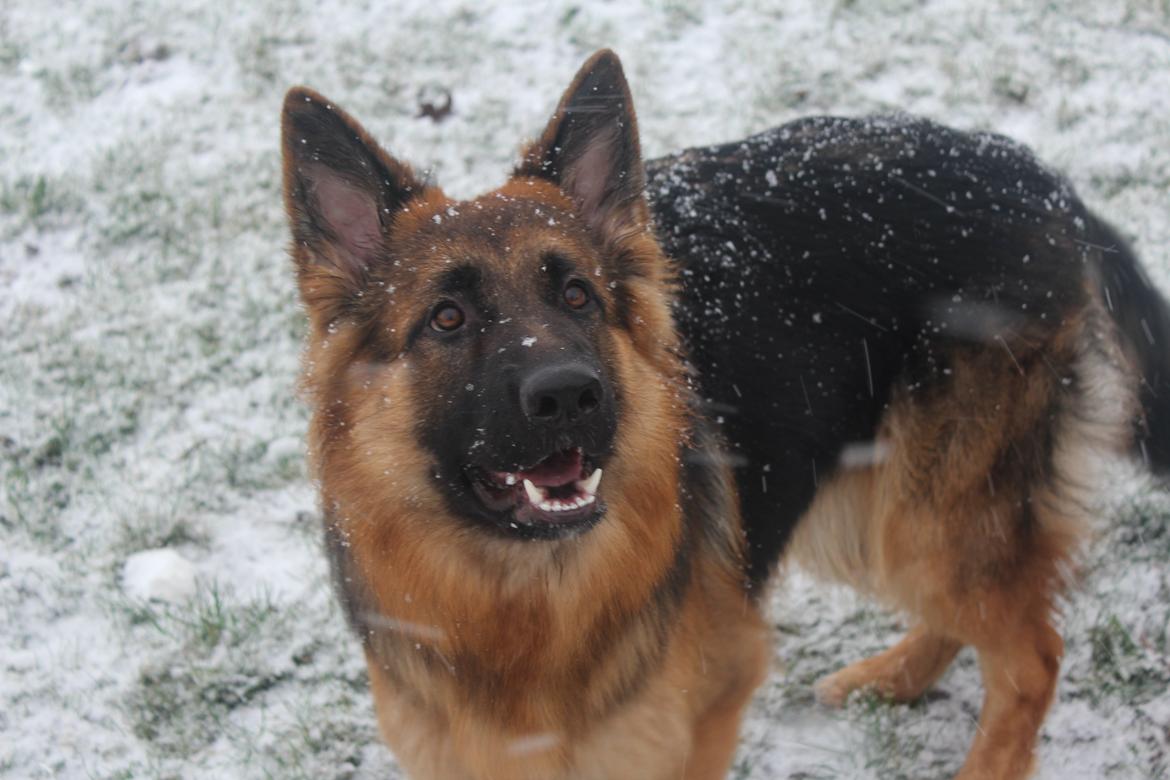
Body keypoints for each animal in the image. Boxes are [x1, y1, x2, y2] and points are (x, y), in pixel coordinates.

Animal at [283, 51, 1170, 776]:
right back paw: (894, 677)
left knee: (1032, 655)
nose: (571, 395)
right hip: (876, 502)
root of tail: (1033, 172)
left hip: (920, 507)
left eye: (577, 296)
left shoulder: (698, 713)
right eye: (447, 319)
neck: (526, 602)